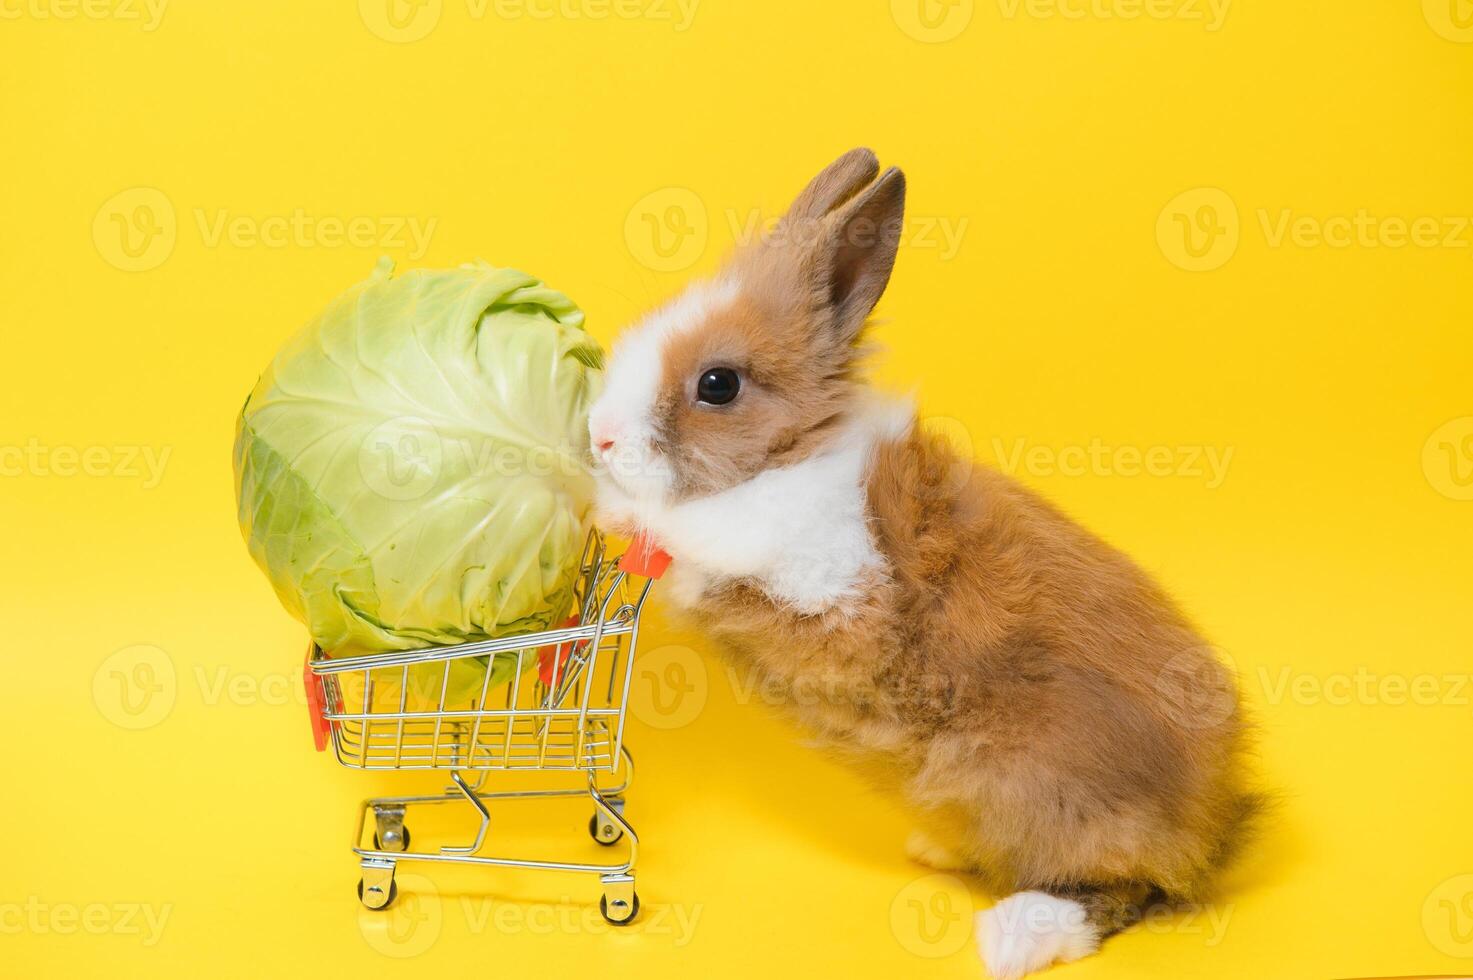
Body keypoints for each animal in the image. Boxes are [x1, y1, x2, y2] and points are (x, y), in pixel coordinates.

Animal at [586, 148, 1254, 972]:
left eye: (718, 384)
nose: (600, 436)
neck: (795, 455)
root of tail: (1214, 822)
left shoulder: (839, 590)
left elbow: (699, 528)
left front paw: (605, 503)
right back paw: (939, 851)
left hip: (1048, 791)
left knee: (1134, 887)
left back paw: (1016, 935)